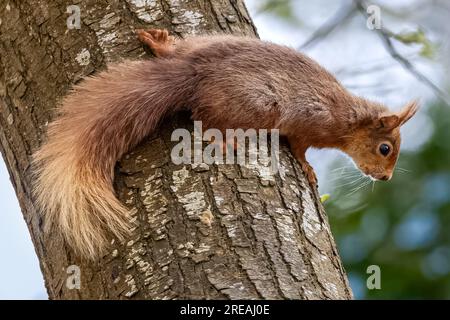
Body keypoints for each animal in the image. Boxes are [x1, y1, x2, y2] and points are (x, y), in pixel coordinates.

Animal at [32, 28, 418, 260]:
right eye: (385, 149)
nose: (385, 178)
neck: (346, 117)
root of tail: (195, 74)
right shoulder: (309, 121)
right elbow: (299, 147)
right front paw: (308, 169)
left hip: (207, 44)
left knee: (178, 53)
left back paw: (160, 43)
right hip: (256, 106)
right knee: (204, 117)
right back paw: (224, 136)